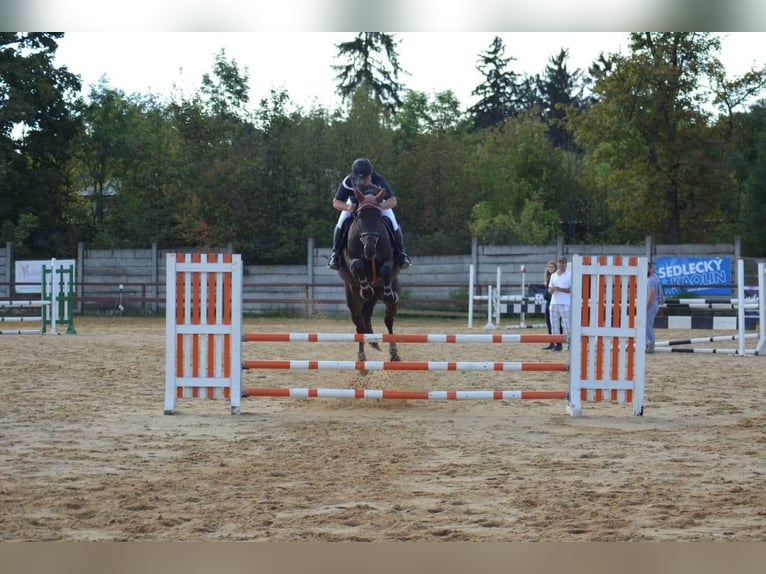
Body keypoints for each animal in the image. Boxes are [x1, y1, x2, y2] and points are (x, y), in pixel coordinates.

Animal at [340, 184, 404, 366]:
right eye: (359, 216)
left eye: (378, 216)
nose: (369, 250)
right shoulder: (350, 258)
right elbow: (357, 264)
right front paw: (366, 289)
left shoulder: (390, 259)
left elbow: (386, 269)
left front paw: (389, 293)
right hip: (353, 302)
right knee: (360, 325)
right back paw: (361, 355)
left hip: (388, 302)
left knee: (388, 320)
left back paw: (393, 353)